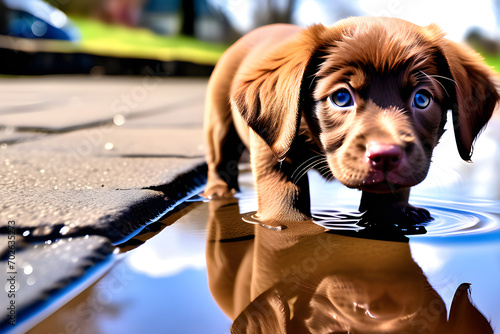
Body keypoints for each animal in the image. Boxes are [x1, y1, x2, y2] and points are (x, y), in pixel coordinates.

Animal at [204, 17, 500, 223]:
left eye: (422, 99)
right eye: (341, 97)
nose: (385, 156)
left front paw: (396, 215)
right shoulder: (275, 145)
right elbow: (282, 192)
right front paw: (286, 221)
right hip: (219, 121)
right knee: (220, 158)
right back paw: (218, 191)